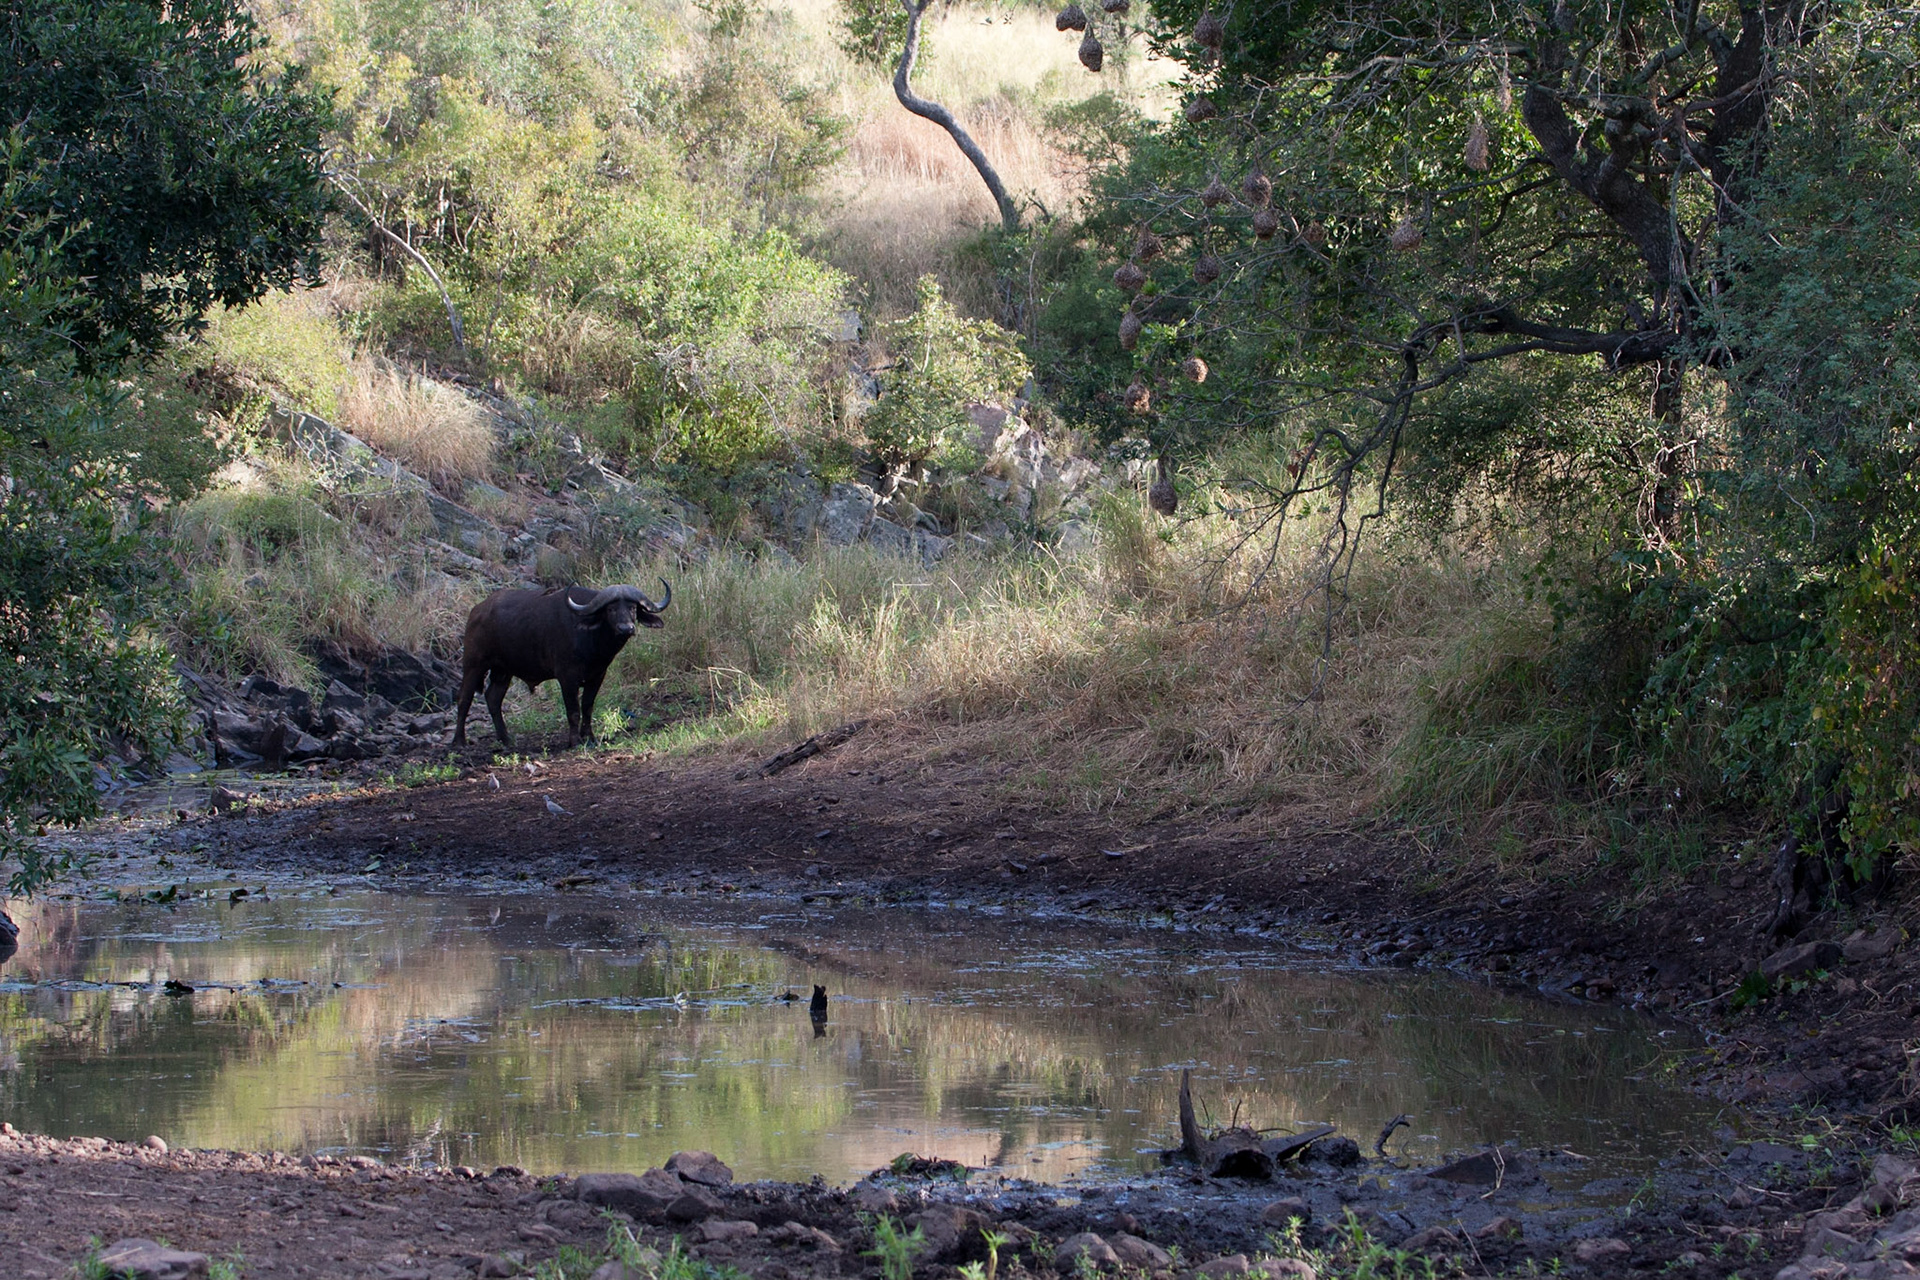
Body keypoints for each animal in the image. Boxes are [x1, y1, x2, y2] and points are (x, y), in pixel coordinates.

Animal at [452, 581, 670, 749]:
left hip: (503, 671)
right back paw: (458, 742)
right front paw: (575, 741)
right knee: (464, 698)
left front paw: (589, 738)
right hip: (473, 665)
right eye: (611, 609)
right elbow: (573, 710)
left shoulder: (597, 675)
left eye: (633, 607)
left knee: (493, 698)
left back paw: (506, 739)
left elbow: (587, 706)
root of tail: (476, 610)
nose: (626, 628)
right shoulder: (567, 677)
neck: (593, 641)